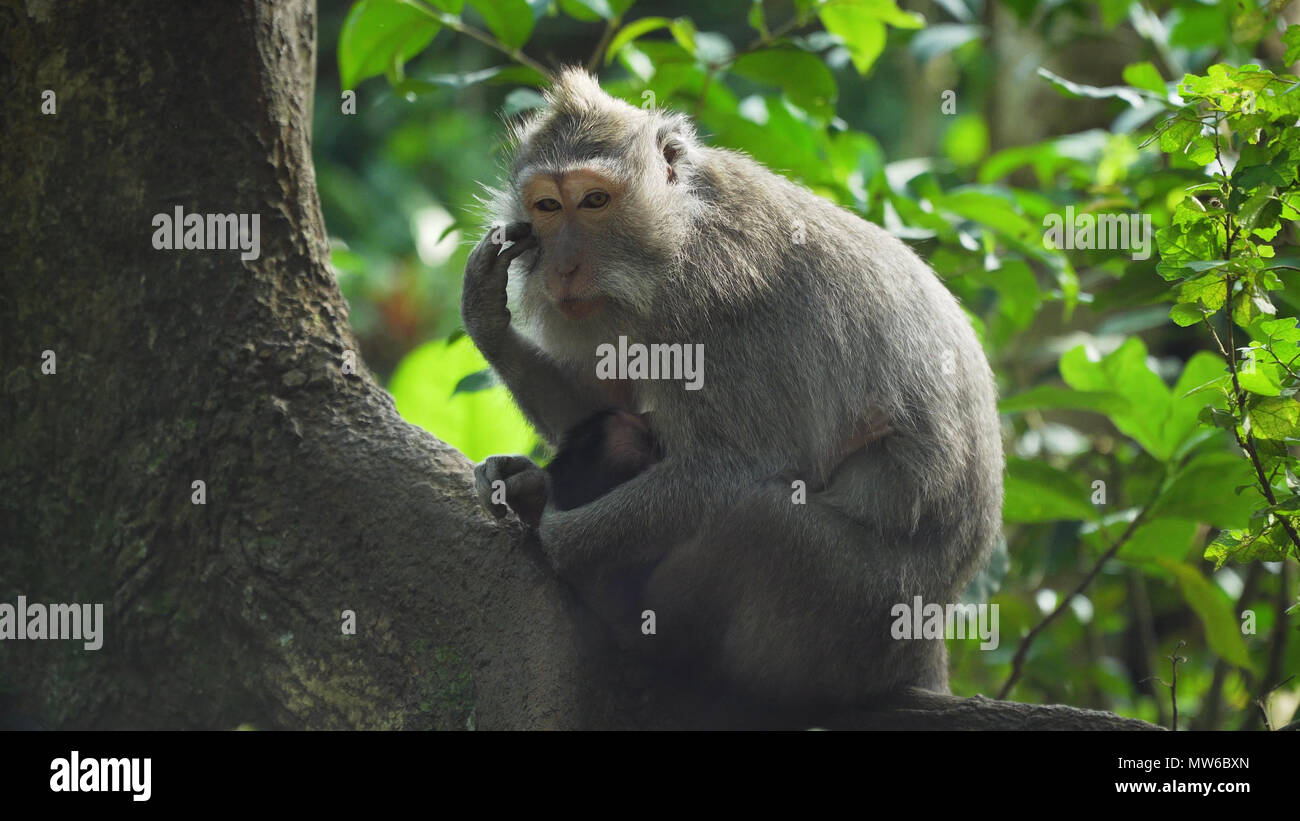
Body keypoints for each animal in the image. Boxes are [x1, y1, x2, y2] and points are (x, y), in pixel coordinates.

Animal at [461, 68, 1003, 710]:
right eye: (547, 206)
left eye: (594, 200)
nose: (563, 268)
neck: (678, 231)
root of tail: (929, 633)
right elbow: (608, 403)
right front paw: (486, 319)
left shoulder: (715, 304)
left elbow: (725, 471)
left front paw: (553, 525)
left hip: (859, 610)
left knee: (756, 520)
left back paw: (632, 621)